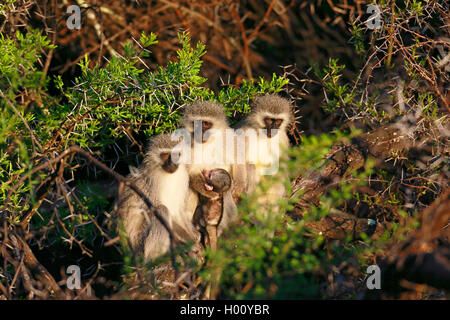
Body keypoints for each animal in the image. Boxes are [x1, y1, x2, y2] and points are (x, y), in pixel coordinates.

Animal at [118, 134, 200, 262]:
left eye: (177, 154)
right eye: (165, 155)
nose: (172, 163)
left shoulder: (183, 175)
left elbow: (178, 210)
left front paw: (192, 234)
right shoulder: (153, 180)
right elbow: (153, 209)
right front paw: (189, 241)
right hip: (139, 243)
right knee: (161, 210)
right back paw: (156, 257)